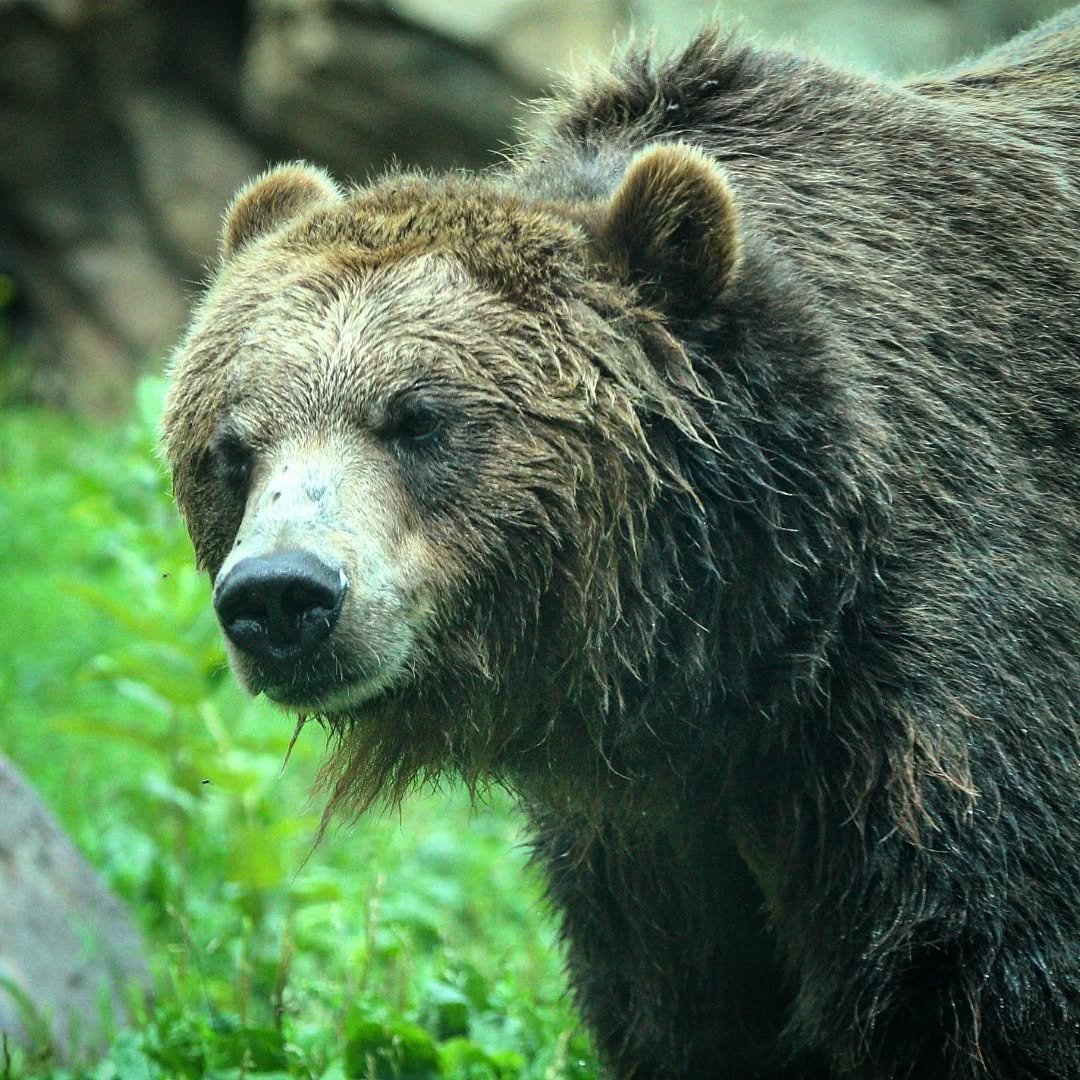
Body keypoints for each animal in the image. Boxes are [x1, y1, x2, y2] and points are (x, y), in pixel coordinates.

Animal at [162, 8, 1080, 1078]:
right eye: (233, 447)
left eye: (419, 419)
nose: (280, 594)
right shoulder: (653, 841)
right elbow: (687, 1012)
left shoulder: (941, 693)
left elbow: (982, 978)